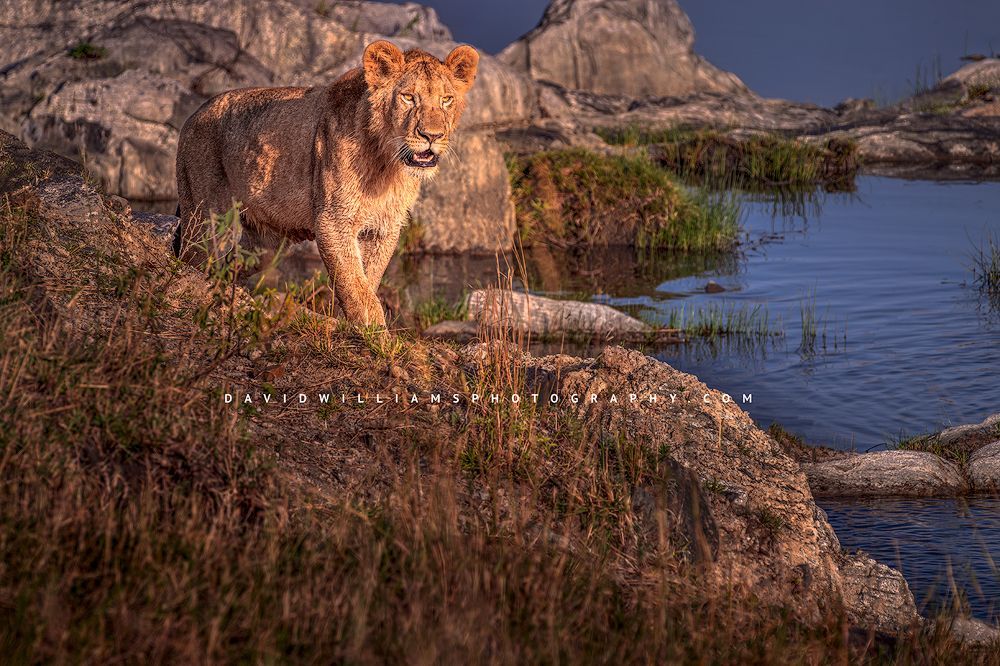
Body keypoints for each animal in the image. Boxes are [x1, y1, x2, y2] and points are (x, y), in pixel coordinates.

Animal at [174, 40, 479, 327]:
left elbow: (368, 279)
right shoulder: (332, 221)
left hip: (266, 244)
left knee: (231, 263)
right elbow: (355, 287)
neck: (387, 164)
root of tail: (195, 112)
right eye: (408, 97)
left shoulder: (384, 227)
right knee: (192, 258)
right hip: (203, 217)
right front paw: (374, 334)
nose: (432, 135)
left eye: (446, 100)